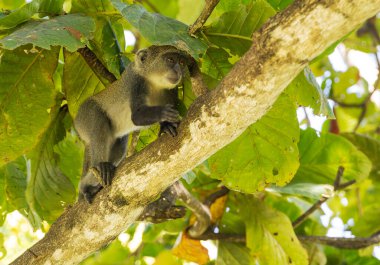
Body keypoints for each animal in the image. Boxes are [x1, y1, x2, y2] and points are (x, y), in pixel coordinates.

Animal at [75, 45, 197, 202]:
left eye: (182, 63)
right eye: (170, 59)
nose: (178, 71)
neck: (154, 82)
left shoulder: (172, 89)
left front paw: (167, 126)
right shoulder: (136, 83)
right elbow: (137, 116)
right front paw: (164, 113)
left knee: (118, 151)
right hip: (86, 115)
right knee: (99, 126)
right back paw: (93, 176)